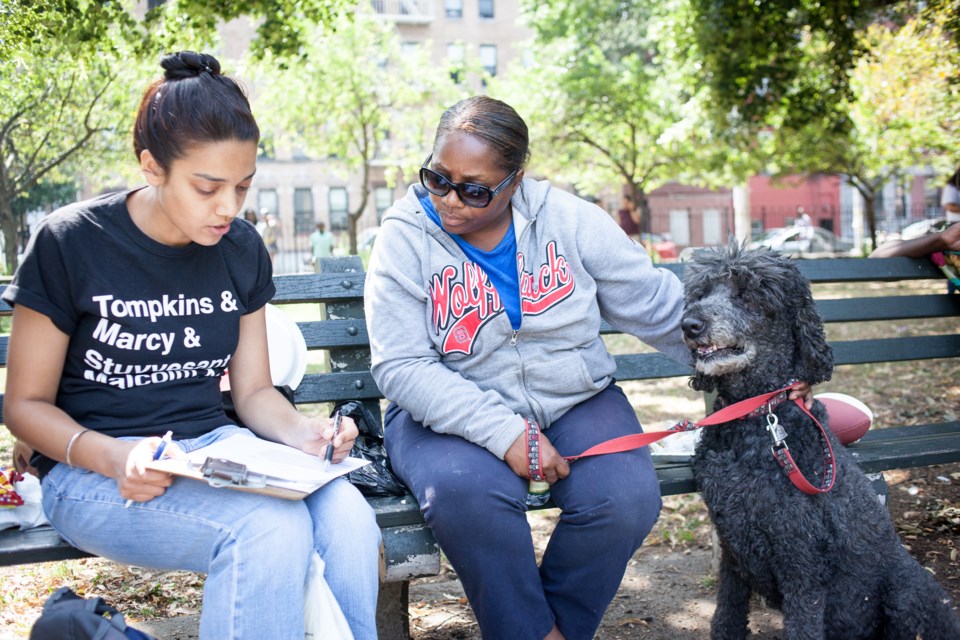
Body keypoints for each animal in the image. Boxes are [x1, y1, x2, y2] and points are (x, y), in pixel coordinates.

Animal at [684, 241, 960, 640]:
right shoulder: (732, 551)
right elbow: (727, 615)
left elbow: (802, 624)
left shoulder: (803, 564)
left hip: (908, 591)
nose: (689, 325)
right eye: (702, 293)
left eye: (747, 293)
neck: (759, 417)